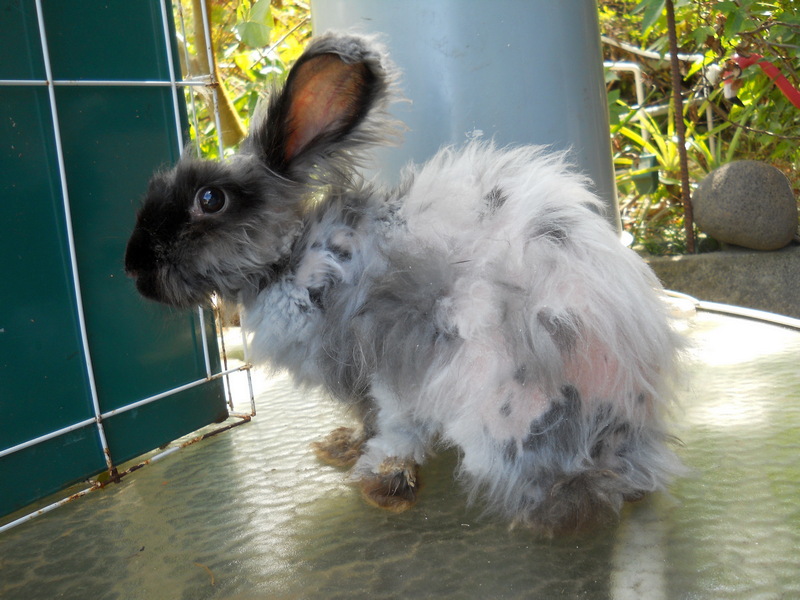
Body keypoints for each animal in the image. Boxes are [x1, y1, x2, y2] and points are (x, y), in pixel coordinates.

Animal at [123, 31, 680, 536]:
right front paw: (339, 446)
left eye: (209, 199)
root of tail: (623, 431)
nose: (132, 268)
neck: (289, 261)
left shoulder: (393, 360)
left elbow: (395, 427)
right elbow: (366, 418)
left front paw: (380, 484)